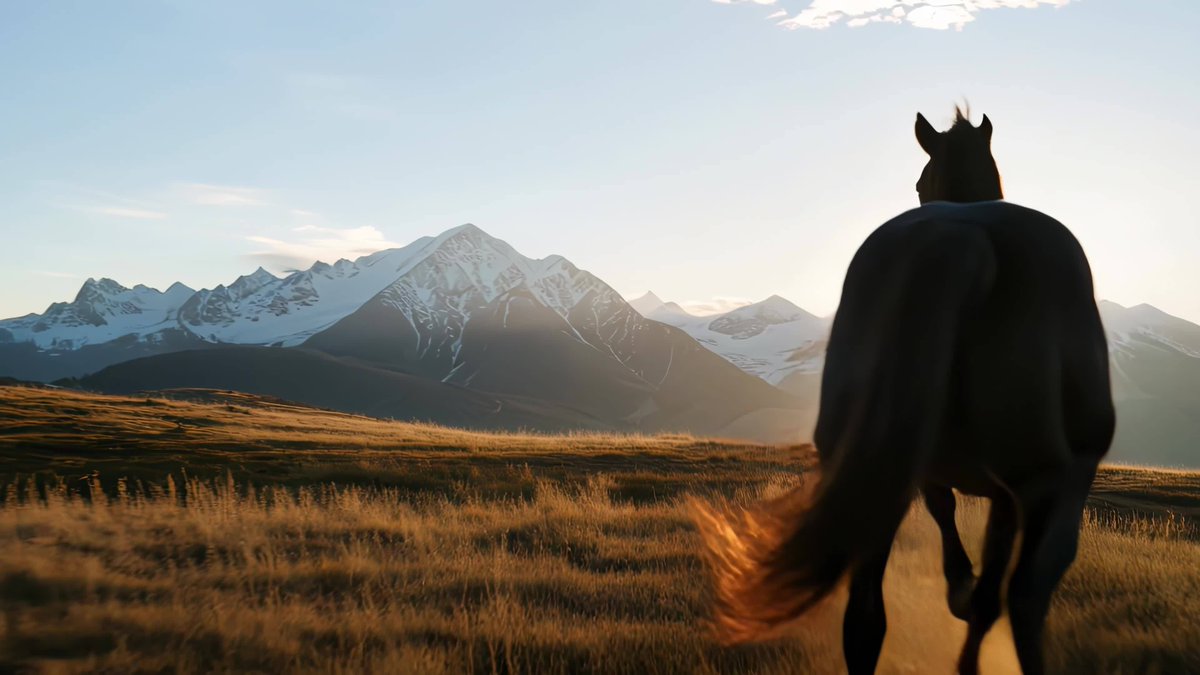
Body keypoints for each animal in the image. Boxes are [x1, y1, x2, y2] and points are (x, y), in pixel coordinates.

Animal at [696, 109, 1114, 675]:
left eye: (919, 181)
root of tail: (962, 240)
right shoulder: (1005, 493)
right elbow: (984, 585)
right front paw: (963, 609)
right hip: (1051, 484)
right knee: (1026, 600)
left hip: (876, 475)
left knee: (866, 617)